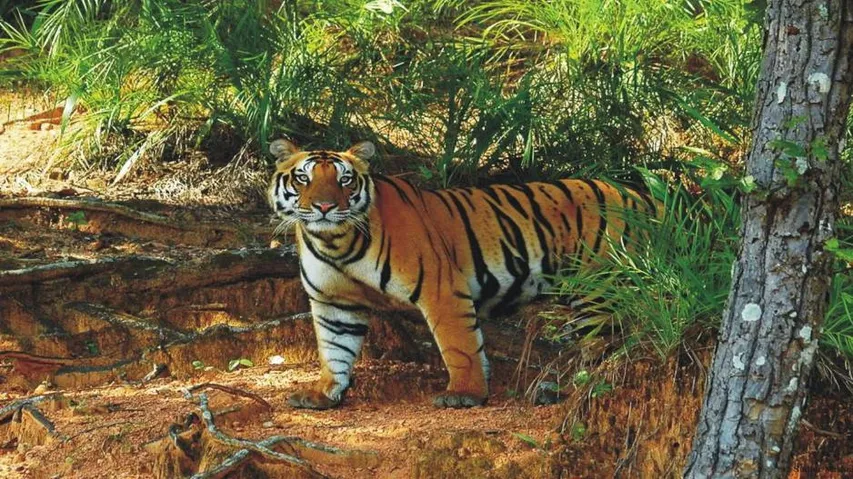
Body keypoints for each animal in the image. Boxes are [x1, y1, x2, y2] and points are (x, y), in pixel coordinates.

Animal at [267, 139, 654, 409]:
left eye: (345, 180)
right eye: (303, 178)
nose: (325, 207)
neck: (336, 242)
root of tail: (638, 195)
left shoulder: (441, 290)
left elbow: (460, 346)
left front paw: (465, 394)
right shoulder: (333, 303)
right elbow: (334, 349)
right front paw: (324, 394)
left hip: (600, 289)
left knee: (603, 348)